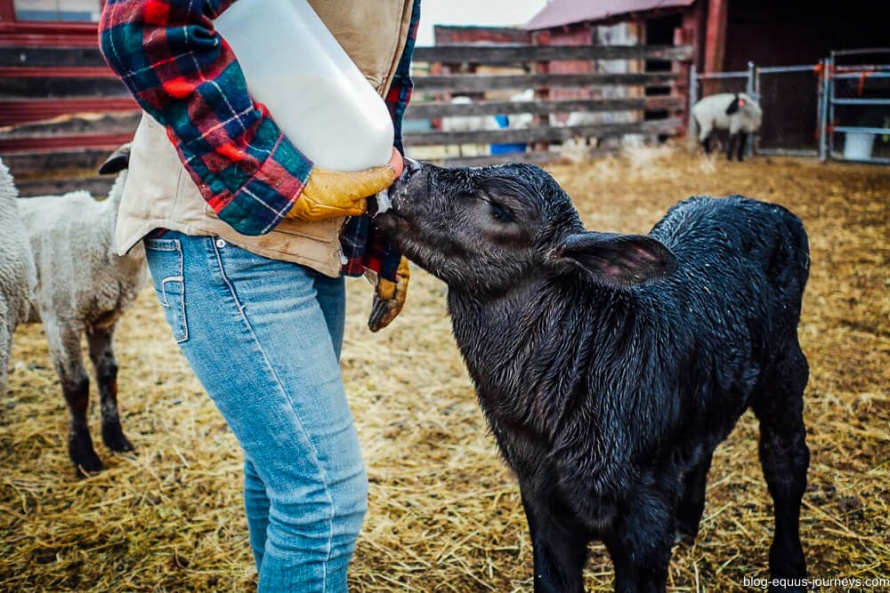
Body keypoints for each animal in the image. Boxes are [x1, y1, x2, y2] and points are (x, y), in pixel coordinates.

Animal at [16, 142, 147, 472]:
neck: (103, 237)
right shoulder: (62, 319)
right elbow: (77, 386)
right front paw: (85, 456)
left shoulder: (104, 319)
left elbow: (108, 375)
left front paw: (116, 439)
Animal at [374, 162, 812, 592]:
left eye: (501, 207)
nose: (406, 171)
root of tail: (760, 205)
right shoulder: (543, 506)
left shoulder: (645, 518)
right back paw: (687, 522)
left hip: (785, 368)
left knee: (785, 461)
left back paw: (788, 567)